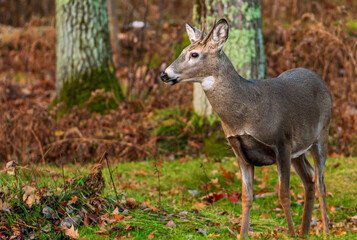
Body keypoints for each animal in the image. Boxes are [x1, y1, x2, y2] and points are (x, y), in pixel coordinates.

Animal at [159, 19, 330, 239]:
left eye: (194, 54)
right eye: (183, 51)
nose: (164, 74)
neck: (246, 112)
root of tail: (319, 78)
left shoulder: (281, 143)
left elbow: (284, 195)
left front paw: (290, 235)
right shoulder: (240, 151)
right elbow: (246, 198)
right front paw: (243, 234)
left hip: (322, 133)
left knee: (320, 182)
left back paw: (324, 231)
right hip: (298, 149)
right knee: (309, 179)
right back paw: (305, 232)